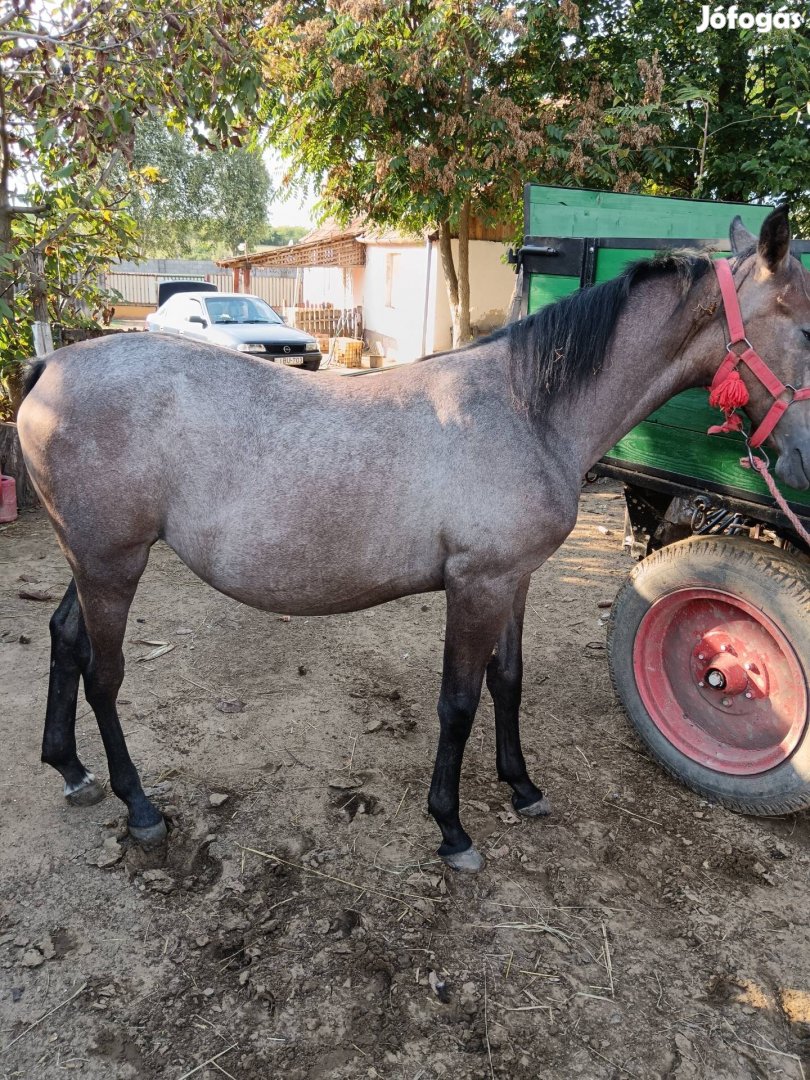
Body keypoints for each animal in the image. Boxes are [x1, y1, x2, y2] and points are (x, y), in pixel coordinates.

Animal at [15, 206, 810, 872]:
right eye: (804, 326)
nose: (803, 461)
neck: (526, 410)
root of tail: (50, 366)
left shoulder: (513, 580)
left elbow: (507, 682)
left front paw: (523, 787)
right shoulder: (476, 584)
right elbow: (458, 702)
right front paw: (452, 829)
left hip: (91, 561)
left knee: (64, 639)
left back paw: (72, 771)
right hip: (113, 564)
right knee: (104, 674)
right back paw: (139, 805)